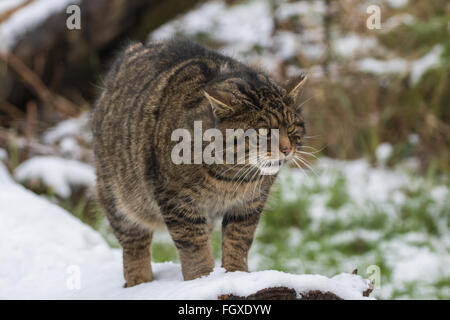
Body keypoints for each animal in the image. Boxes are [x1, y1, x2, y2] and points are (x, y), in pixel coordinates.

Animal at [92, 38, 308, 286]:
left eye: (290, 128)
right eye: (264, 132)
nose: (286, 149)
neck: (230, 175)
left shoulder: (250, 203)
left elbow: (238, 241)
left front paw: (236, 273)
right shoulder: (178, 201)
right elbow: (194, 248)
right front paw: (201, 278)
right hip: (118, 199)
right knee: (134, 246)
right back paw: (140, 281)